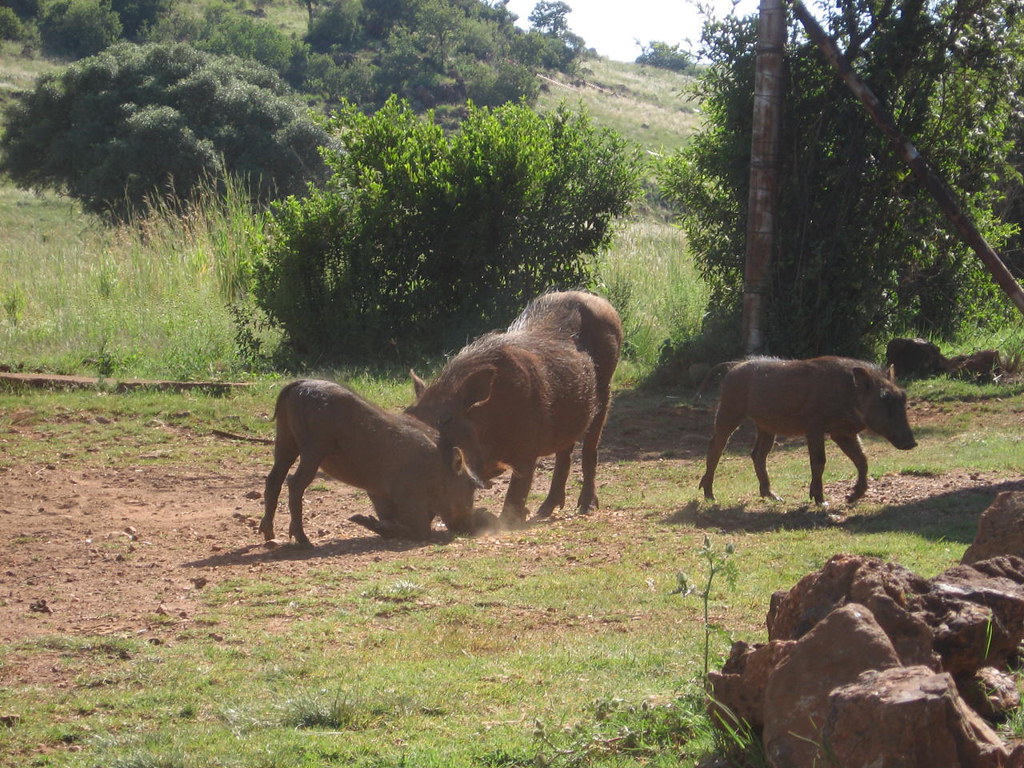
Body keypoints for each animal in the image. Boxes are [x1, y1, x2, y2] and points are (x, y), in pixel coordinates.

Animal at [260, 379, 484, 546]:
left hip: (285, 443)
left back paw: (269, 533)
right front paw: (370, 522)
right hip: (312, 451)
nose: (470, 530)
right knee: (294, 484)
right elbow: (421, 531)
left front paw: (371, 523)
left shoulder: (379, 493)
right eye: (470, 485)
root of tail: (298, 385)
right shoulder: (408, 497)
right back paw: (303, 540)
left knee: (274, 480)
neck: (437, 470)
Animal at [408, 330, 600, 525]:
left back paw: (586, 507)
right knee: (564, 454)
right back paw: (545, 510)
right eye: (410, 412)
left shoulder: (527, 451)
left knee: (589, 451)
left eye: (446, 418)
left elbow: (517, 489)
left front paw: (506, 522)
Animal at [698, 356, 917, 505]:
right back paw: (710, 495)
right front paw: (820, 500)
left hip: (766, 426)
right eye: (884, 398)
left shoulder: (842, 433)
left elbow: (862, 460)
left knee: (758, 454)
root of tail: (734, 366)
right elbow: (819, 461)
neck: (849, 394)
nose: (912, 443)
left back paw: (773, 496)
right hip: (729, 412)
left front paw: (851, 497)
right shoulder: (815, 428)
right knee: (716, 446)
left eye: (903, 396)